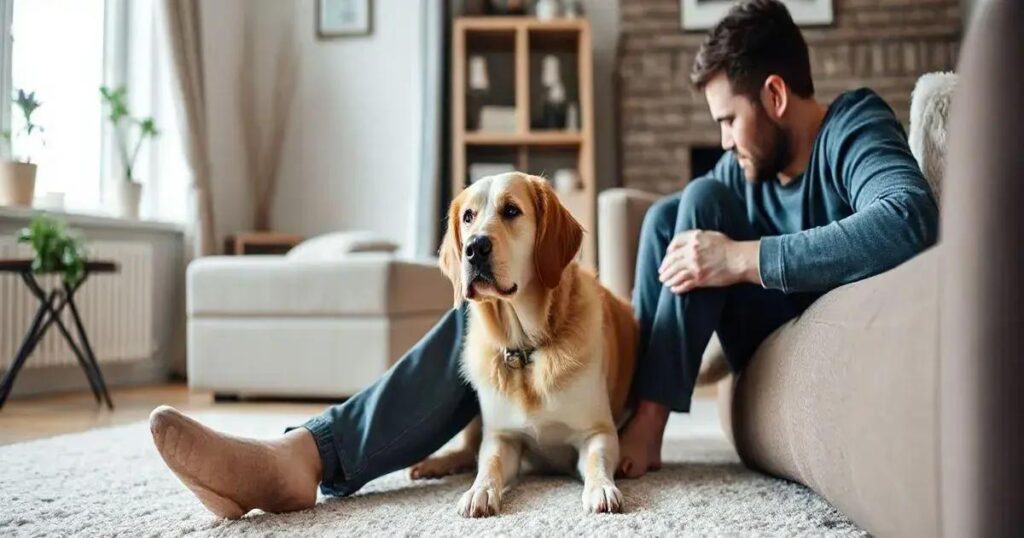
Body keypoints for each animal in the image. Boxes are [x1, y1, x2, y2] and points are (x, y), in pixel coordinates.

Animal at [409, 172, 634, 516]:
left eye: (512, 211)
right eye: (468, 217)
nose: (474, 248)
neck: (527, 348)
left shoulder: (598, 432)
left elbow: (596, 460)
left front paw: (602, 488)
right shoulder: (502, 437)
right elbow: (488, 463)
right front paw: (479, 491)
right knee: (469, 451)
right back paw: (435, 464)